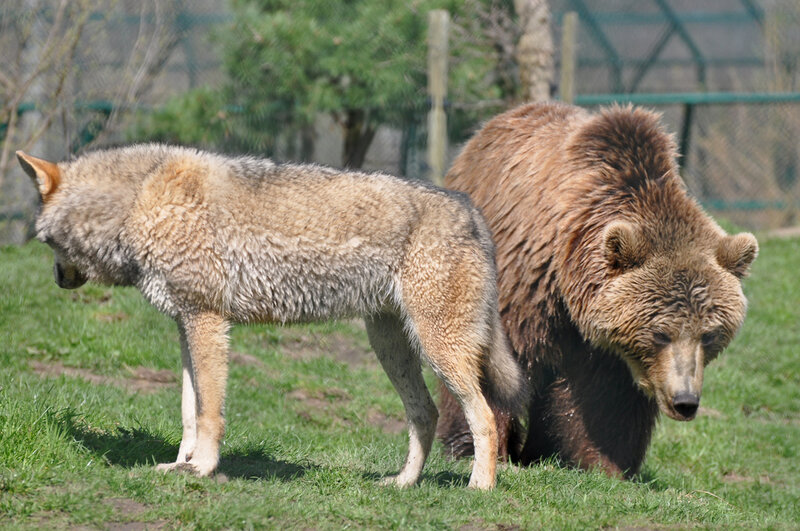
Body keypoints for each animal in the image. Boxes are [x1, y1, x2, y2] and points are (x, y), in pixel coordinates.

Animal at [17, 144, 525, 489]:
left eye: (44, 243)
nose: (58, 280)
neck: (139, 201)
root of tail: (471, 209)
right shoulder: (185, 325)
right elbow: (187, 410)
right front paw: (180, 465)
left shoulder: (207, 322)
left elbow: (209, 413)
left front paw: (202, 469)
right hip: (392, 349)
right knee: (426, 413)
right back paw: (403, 484)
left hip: (439, 350)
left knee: (483, 414)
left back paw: (480, 487)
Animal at [436, 102, 758, 478]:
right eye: (661, 333)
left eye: (709, 335)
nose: (685, 401)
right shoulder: (527, 284)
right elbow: (503, 362)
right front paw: (487, 449)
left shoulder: (610, 345)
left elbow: (607, 400)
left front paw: (604, 463)